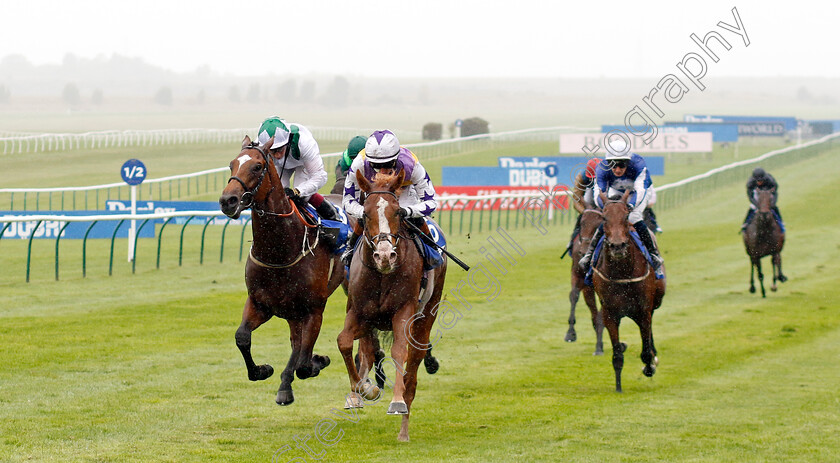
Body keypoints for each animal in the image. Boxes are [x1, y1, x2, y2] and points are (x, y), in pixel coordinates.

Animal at [220, 137, 348, 406]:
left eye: (257, 167)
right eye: (231, 164)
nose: (228, 201)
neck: (280, 250)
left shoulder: (313, 310)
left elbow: (302, 363)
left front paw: (317, 362)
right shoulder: (260, 303)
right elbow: (242, 337)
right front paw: (262, 370)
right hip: (291, 313)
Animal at [338, 169, 450, 442]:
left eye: (398, 212)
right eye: (365, 214)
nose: (385, 256)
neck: (381, 275)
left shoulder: (403, 312)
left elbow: (399, 352)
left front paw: (396, 401)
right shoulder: (359, 313)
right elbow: (344, 342)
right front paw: (361, 391)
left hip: (426, 314)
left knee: (414, 365)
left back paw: (403, 429)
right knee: (366, 350)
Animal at [564, 208, 604, 358]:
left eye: (598, 224)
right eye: (582, 223)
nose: (584, 251)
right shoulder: (578, 275)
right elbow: (574, 295)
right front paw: (570, 333)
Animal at [592, 190, 668, 394]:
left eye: (626, 216)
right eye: (604, 217)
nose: (618, 246)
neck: (622, 272)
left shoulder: (643, 310)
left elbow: (645, 351)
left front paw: (649, 367)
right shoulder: (610, 313)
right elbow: (617, 353)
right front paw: (618, 387)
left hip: (654, 302)